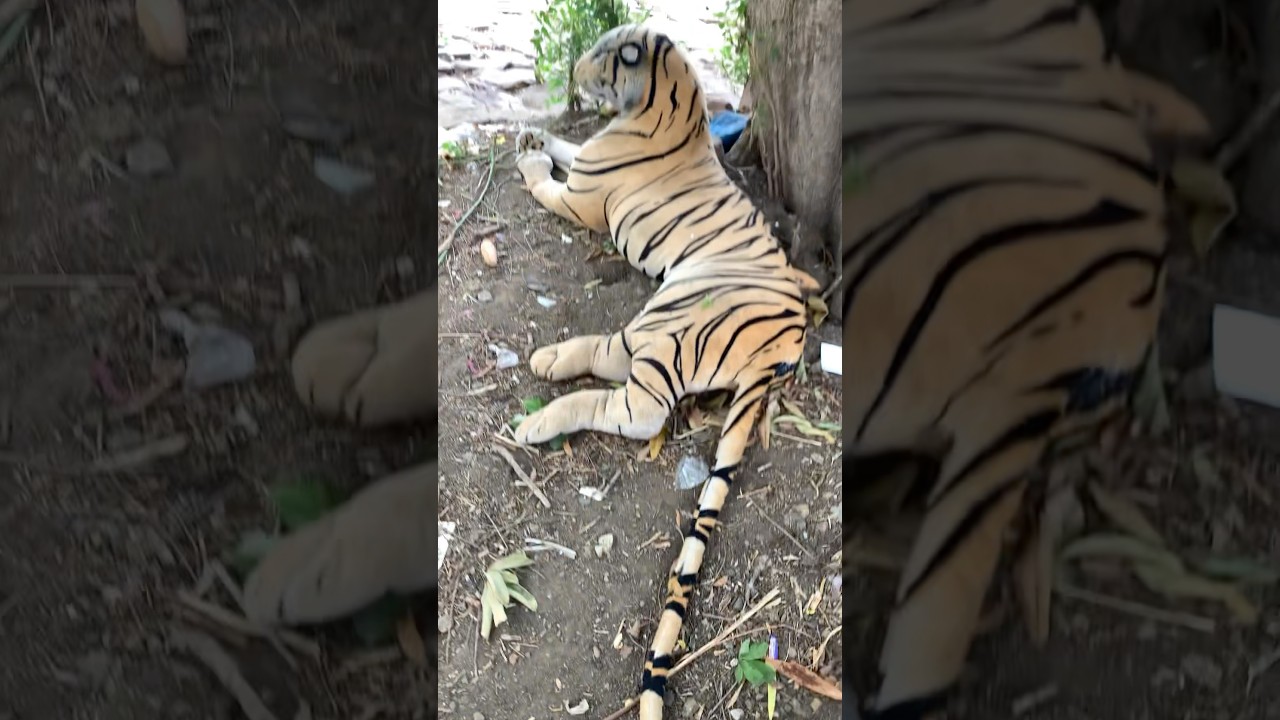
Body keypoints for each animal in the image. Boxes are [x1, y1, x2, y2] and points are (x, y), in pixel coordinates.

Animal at [510, 24, 822, 720]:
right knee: (614, 365)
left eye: (598, 54)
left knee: (632, 403)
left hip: (668, 320)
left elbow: (548, 179)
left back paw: (540, 407)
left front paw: (530, 155)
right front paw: (535, 136)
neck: (672, 100)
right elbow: (567, 143)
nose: (573, 72)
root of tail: (788, 340)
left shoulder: (581, 197)